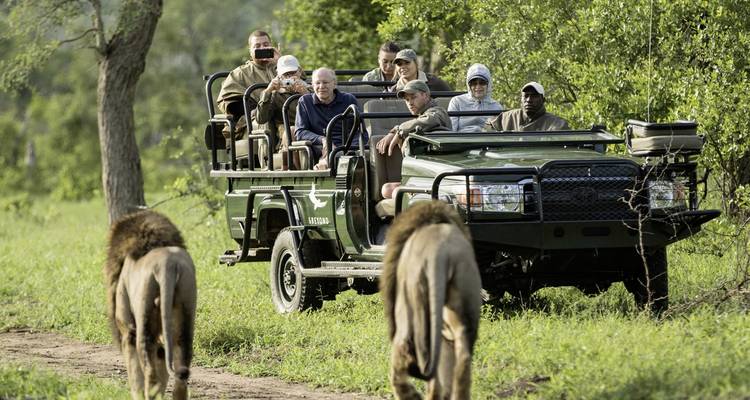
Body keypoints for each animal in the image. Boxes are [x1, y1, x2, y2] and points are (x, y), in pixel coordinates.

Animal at [105, 210, 197, 400]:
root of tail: (168, 264)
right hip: (186, 313)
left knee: (150, 375)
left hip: (143, 322)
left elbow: (134, 373)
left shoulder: (127, 329)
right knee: (181, 376)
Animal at [380, 200, 482, 400]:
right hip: (463, 297)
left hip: (411, 306)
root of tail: (440, 251)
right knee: (462, 358)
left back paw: (410, 394)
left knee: (403, 352)